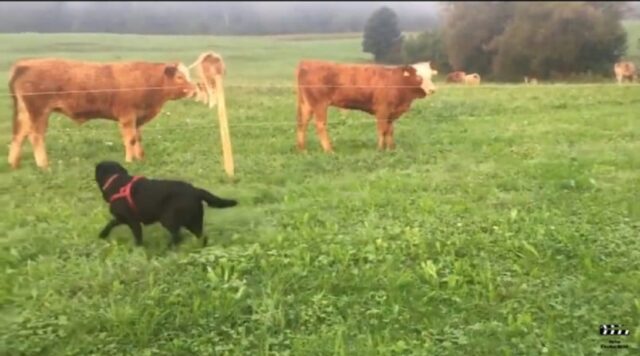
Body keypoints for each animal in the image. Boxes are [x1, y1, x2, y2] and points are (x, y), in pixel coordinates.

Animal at [7, 58, 196, 170]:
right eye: (180, 77)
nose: (195, 90)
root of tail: (25, 64)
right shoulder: (127, 116)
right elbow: (130, 139)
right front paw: (129, 161)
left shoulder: (137, 118)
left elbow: (138, 138)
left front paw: (141, 158)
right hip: (39, 112)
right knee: (35, 136)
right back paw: (44, 165)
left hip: (26, 113)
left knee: (18, 135)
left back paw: (13, 163)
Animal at [94, 161, 236, 248]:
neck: (115, 180)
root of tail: (195, 190)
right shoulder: (121, 218)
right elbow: (111, 223)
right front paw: (102, 234)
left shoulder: (133, 222)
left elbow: (138, 239)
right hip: (194, 221)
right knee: (201, 236)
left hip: (168, 218)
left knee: (178, 236)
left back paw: (167, 248)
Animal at [296, 59, 438, 152]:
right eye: (419, 78)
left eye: (431, 76)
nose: (432, 90)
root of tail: (307, 62)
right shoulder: (382, 110)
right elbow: (382, 130)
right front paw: (380, 149)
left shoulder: (391, 113)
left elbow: (390, 131)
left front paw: (391, 148)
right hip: (319, 105)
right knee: (320, 126)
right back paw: (329, 150)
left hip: (306, 105)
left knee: (302, 124)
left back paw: (302, 150)